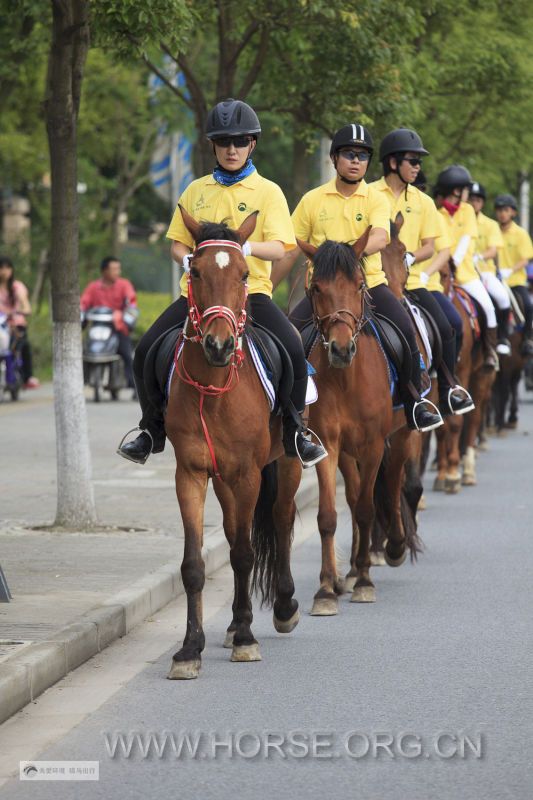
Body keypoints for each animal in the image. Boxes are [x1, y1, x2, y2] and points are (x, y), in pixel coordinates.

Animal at [165, 205, 298, 676]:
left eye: (244, 273)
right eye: (195, 271)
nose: (219, 345)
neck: (213, 387)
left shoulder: (247, 474)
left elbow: (243, 553)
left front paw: (245, 638)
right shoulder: (190, 473)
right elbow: (194, 563)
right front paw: (190, 648)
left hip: (286, 463)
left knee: (280, 518)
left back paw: (281, 608)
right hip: (222, 479)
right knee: (233, 526)